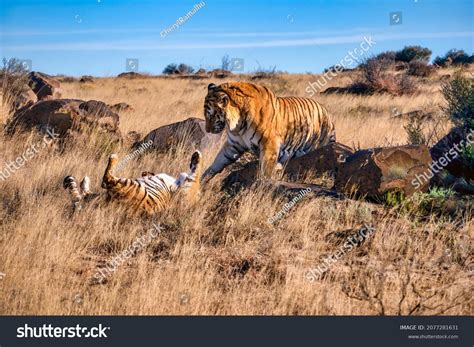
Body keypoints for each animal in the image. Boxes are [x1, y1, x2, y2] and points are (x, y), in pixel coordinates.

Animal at [63, 152, 202, 216]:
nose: (146, 173)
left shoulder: (188, 190)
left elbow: (197, 172)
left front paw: (197, 156)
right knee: (85, 194)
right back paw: (82, 182)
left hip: (130, 186)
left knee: (105, 180)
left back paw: (113, 157)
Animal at [202, 81, 336, 179]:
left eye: (211, 116)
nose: (207, 130)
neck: (238, 126)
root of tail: (327, 112)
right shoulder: (233, 145)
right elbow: (217, 162)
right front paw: (203, 180)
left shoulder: (269, 144)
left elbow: (266, 170)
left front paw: (263, 186)